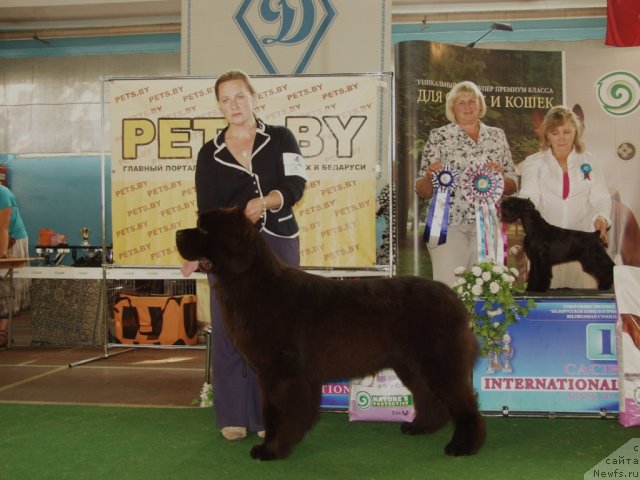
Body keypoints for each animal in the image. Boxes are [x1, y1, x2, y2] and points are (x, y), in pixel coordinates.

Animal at [175, 207, 484, 462]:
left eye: (204, 230)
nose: (177, 233)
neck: (254, 284)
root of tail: (454, 298)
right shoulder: (276, 373)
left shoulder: (280, 372)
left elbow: (276, 413)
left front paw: (270, 450)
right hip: (410, 364)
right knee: (428, 396)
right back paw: (420, 427)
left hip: (439, 362)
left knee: (465, 402)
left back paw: (463, 446)